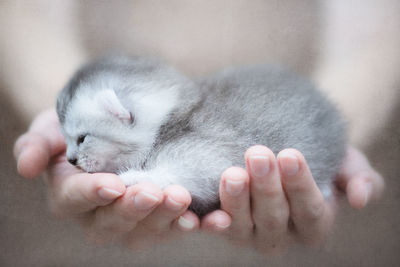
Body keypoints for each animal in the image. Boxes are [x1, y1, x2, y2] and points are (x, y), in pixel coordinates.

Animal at [57, 55, 346, 217]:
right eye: (67, 138)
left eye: (82, 138)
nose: (70, 160)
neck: (169, 117)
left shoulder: (205, 158)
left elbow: (173, 175)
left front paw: (133, 177)